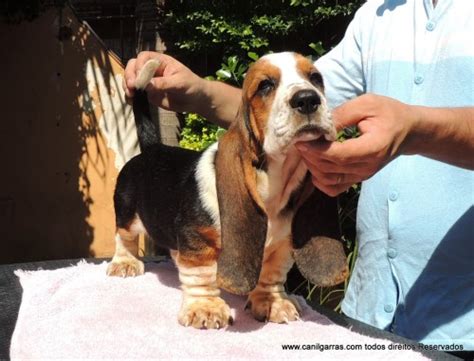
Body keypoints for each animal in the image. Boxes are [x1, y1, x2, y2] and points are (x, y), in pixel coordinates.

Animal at [107, 51, 348, 330]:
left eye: (316, 78)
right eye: (265, 85)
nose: (308, 99)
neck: (274, 182)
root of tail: (153, 148)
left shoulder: (281, 248)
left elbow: (272, 275)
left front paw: (272, 303)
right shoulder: (198, 241)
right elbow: (201, 276)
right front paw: (206, 308)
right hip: (126, 212)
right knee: (124, 236)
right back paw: (124, 263)